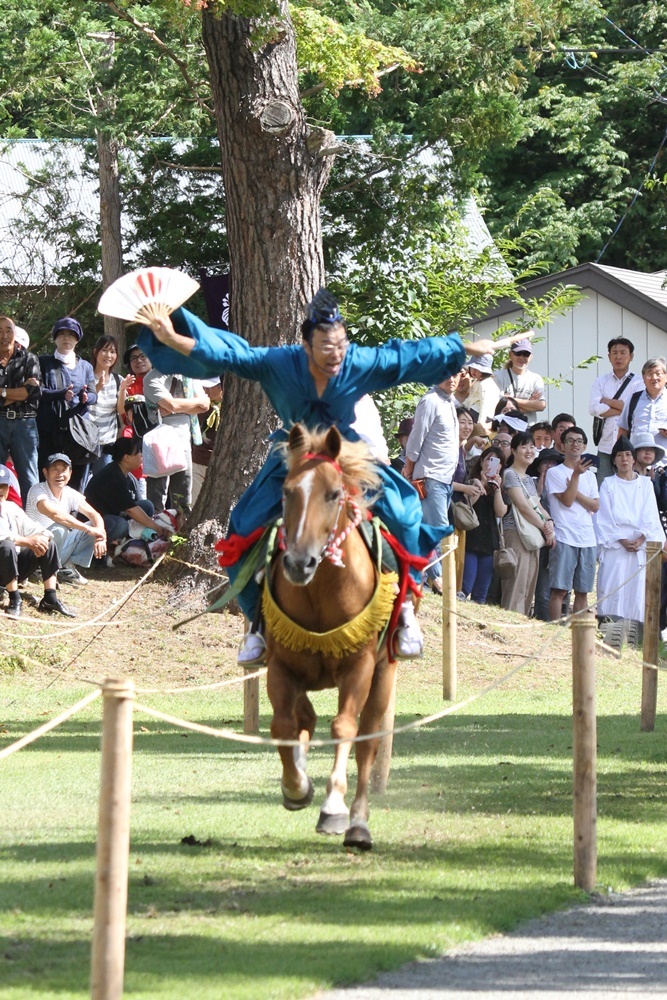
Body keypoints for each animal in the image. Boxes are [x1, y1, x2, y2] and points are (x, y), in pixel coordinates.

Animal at [264, 422, 400, 852]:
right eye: (287, 491)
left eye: (334, 493)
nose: (298, 562)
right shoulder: (280, 665)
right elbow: (283, 726)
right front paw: (296, 786)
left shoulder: (359, 666)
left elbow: (344, 728)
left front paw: (334, 808)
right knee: (302, 718)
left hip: (384, 674)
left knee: (369, 739)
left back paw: (358, 823)